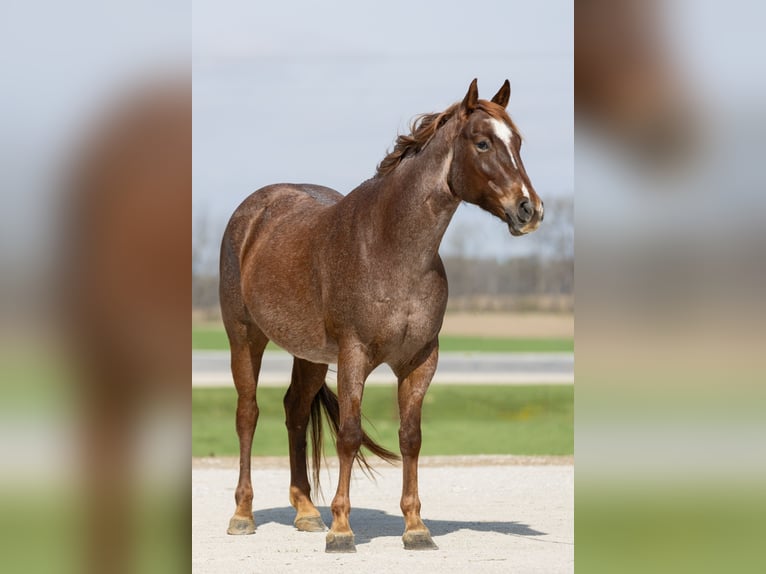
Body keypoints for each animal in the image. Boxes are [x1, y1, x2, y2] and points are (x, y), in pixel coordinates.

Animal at [219, 79, 544, 553]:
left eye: (517, 142)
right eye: (483, 143)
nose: (529, 210)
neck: (390, 247)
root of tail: (252, 213)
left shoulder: (420, 360)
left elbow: (411, 437)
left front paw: (415, 527)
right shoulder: (353, 356)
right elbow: (350, 434)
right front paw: (341, 530)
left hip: (311, 356)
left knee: (295, 411)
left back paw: (306, 511)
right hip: (245, 338)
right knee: (248, 414)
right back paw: (243, 514)